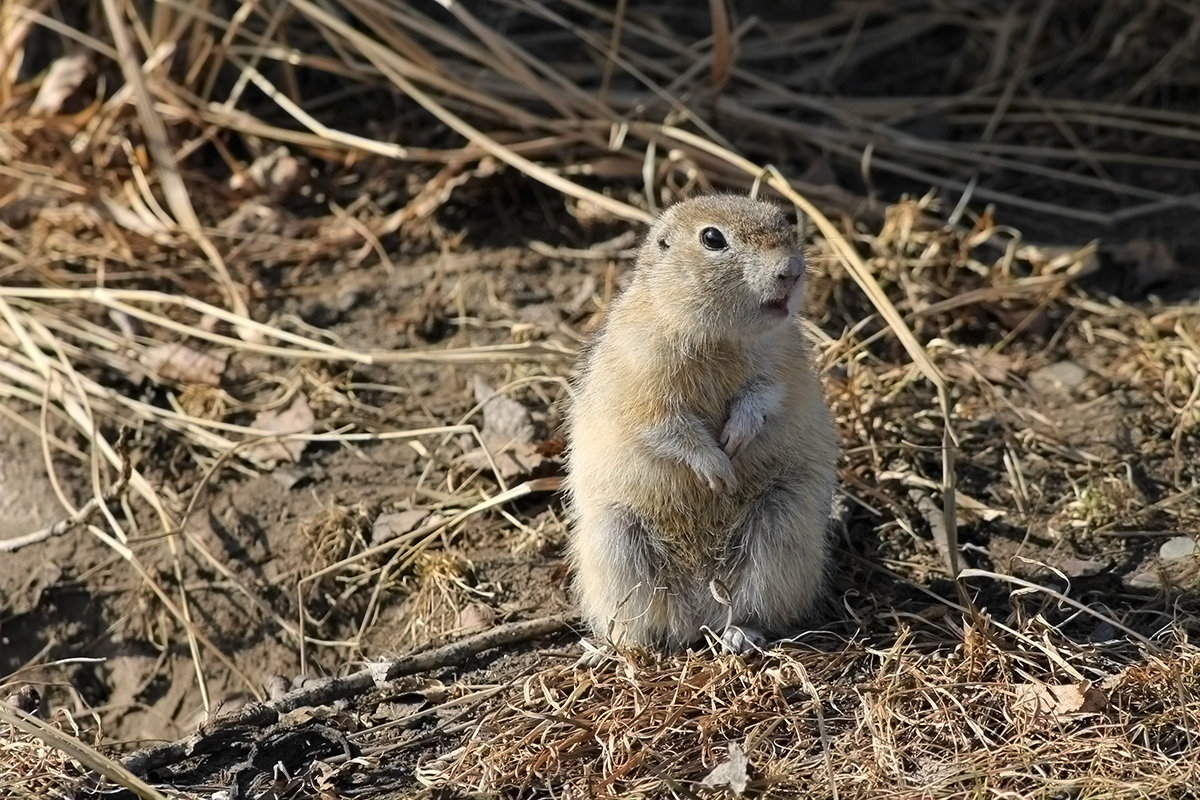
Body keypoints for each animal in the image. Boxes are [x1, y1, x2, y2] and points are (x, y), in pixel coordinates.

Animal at [564, 195, 840, 657]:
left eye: (784, 219)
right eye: (712, 238)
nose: (791, 270)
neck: (717, 337)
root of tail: (698, 612)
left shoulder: (784, 366)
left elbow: (764, 394)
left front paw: (736, 438)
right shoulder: (643, 386)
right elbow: (668, 428)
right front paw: (718, 470)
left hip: (782, 521)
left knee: (751, 606)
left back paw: (739, 636)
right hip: (614, 537)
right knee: (643, 625)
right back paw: (619, 649)